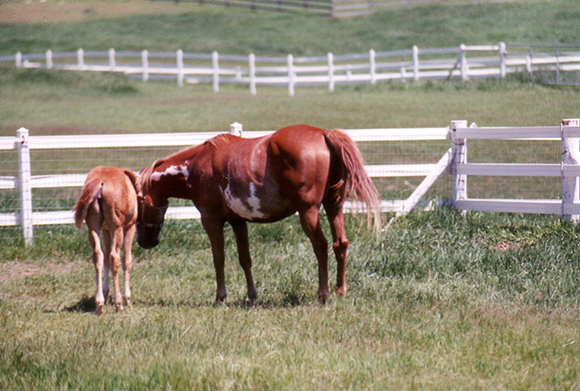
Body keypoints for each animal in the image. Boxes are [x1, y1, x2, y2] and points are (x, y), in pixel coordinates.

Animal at [73, 165, 139, 316]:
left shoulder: (105, 230)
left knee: (98, 256)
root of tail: (100, 182)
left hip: (93, 227)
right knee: (115, 257)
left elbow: (106, 259)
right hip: (117, 228)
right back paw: (118, 304)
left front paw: (105, 292)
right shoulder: (129, 227)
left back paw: (99, 305)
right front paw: (127, 300)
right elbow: (126, 260)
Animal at [136, 125, 380, 304]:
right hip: (334, 205)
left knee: (321, 245)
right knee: (340, 243)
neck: (194, 167)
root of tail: (323, 134)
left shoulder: (211, 220)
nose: (145, 242)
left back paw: (324, 293)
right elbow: (245, 259)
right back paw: (340, 290)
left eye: (138, 203)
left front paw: (220, 297)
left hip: (308, 212)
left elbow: (218, 258)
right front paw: (252, 296)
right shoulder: (238, 221)